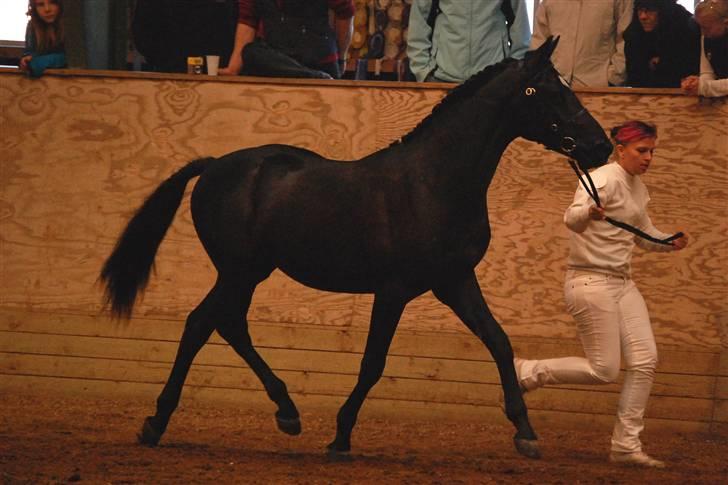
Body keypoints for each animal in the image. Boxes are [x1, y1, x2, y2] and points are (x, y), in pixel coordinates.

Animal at [101, 37, 616, 458]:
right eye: (551, 92)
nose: (600, 146)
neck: (433, 182)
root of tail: (212, 166)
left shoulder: (453, 281)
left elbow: (499, 340)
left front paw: (525, 433)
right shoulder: (394, 290)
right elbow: (372, 363)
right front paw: (341, 435)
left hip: (251, 272)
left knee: (226, 324)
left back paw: (286, 412)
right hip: (239, 269)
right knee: (199, 324)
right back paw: (157, 423)